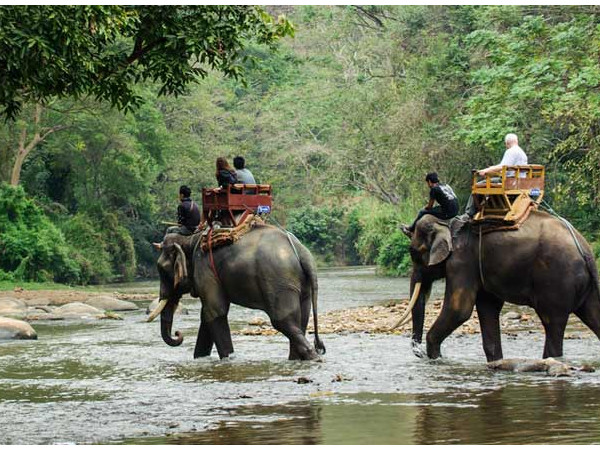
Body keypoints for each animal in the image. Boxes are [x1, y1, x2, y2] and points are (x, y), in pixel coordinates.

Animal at [148, 225, 326, 362]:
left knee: (282, 321)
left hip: (279, 281)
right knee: (300, 320)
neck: (191, 238)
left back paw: (314, 358)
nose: (178, 334)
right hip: (300, 285)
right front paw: (200, 358)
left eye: (161, 269)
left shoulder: (205, 269)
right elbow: (207, 315)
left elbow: (215, 311)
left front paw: (228, 359)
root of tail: (302, 252)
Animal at [394, 211, 600, 362]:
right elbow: (487, 307)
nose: (419, 352)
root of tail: (586, 250)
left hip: (556, 281)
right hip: (585, 287)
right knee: (592, 315)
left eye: (413, 252)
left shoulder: (461, 262)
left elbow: (459, 310)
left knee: (552, 323)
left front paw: (436, 359)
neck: (446, 223)